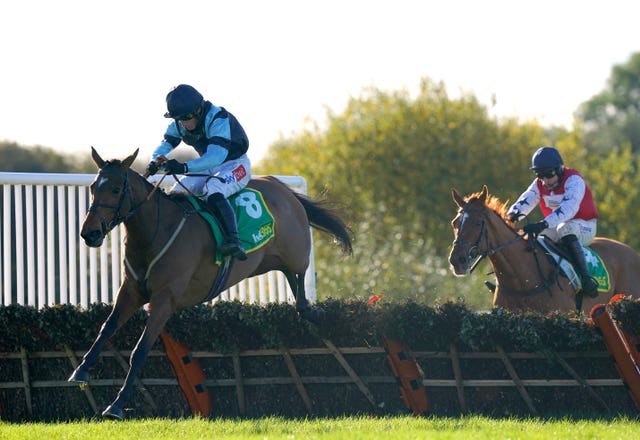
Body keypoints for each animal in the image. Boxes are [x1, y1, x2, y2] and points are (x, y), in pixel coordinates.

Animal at [67, 149, 352, 420]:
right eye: (93, 187)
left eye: (116, 189)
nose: (89, 233)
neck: (154, 232)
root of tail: (280, 186)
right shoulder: (131, 290)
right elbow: (107, 327)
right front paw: (80, 371)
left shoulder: (164, 299)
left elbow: (140, 350)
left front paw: (116, 405)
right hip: (268, 260)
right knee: (290, 277)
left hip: (294, 249)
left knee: (300, 276)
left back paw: (314, 311)